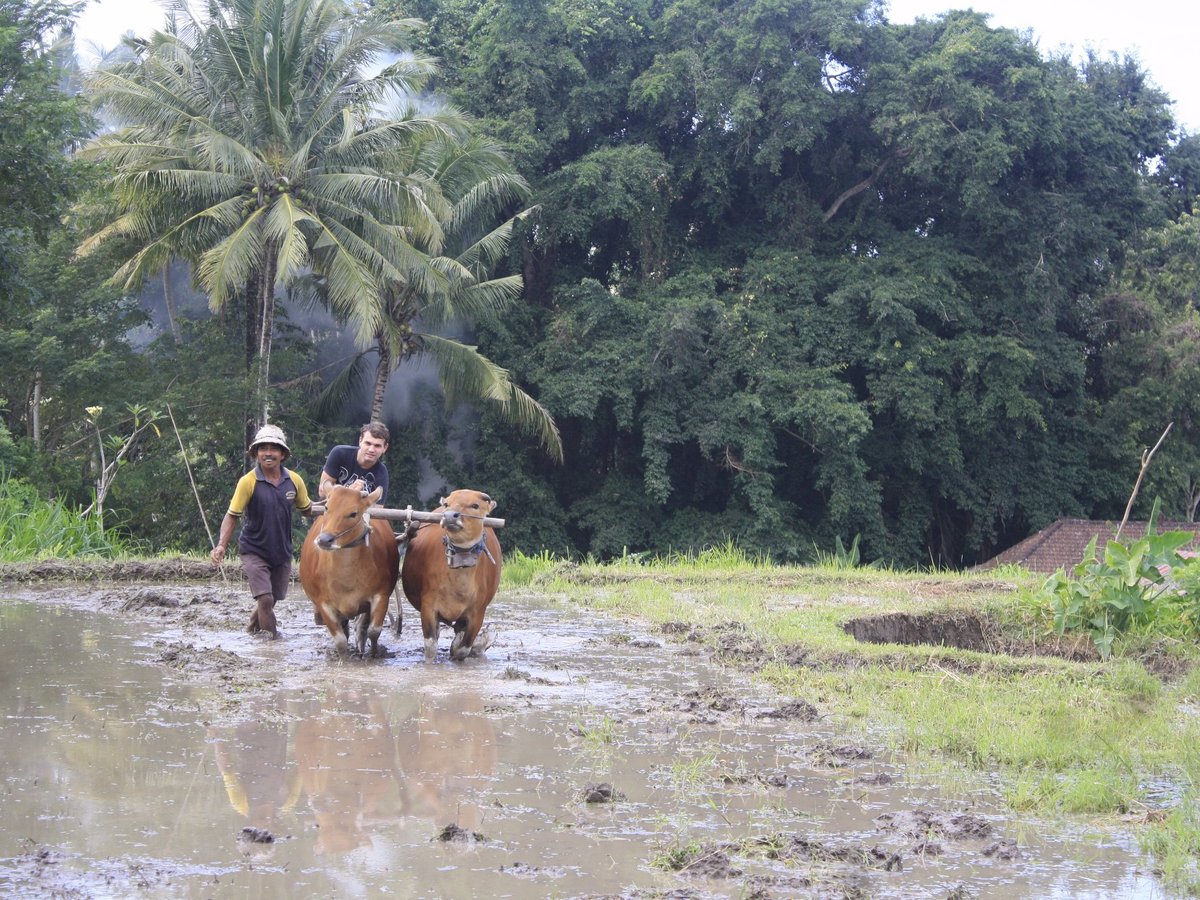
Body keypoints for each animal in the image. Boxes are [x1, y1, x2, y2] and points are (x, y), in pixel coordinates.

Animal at [298, 489, 398, 657]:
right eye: (326, 507)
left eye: (353, 514)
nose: (324, 540)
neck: (346, 579)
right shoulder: (323, 603)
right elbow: (340, 641)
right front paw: (344, 659)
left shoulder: (381, 595)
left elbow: (374, 631)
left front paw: (374, 655)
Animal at [400, 494, 499, 662]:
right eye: (447, 504)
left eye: (475, 505)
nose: (449, 516)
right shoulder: (428, 607)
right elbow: (431, 647)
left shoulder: (478, 613)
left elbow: (462, 649)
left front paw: (459, 648)